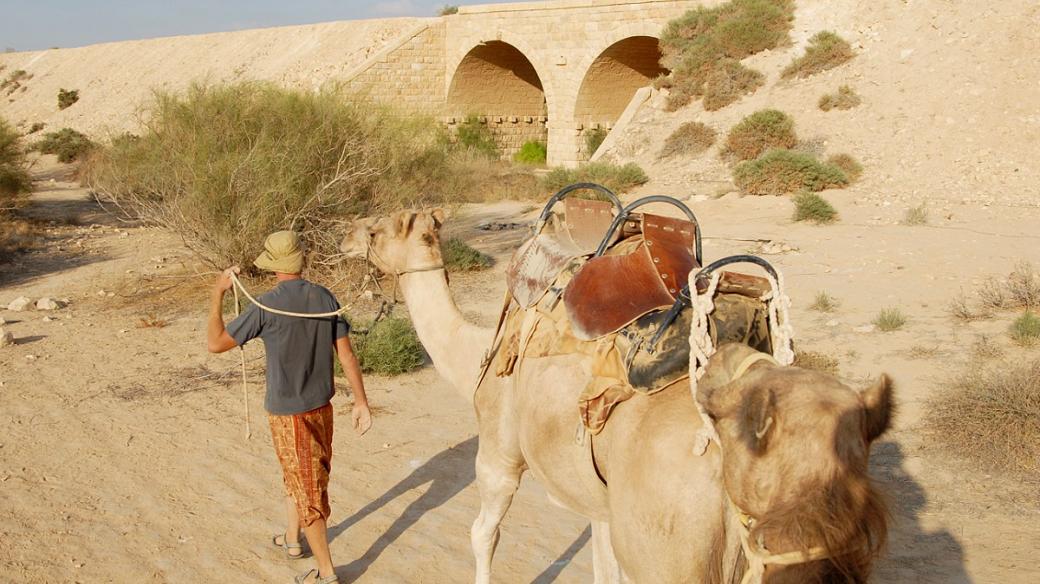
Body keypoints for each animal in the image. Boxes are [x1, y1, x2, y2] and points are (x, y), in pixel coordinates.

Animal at [341, 206, 894, 577]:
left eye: (376, 229)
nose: (344, 236)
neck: (475, 349)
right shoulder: (603, 507)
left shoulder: (499, 450)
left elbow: (483, 534)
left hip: (671, 547)